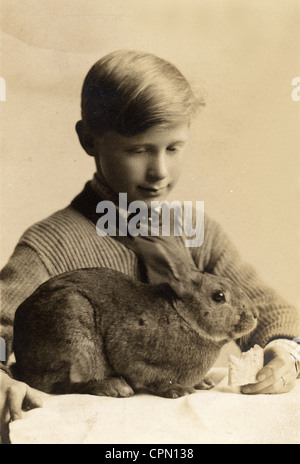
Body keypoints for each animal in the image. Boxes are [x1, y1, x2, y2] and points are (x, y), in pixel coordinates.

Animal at [12, 230, 258, 400]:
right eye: (219, 296)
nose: (255, 314)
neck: (183, 317)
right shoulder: (132, 353)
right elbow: (151, 376)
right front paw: (179, 390)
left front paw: (204, 383)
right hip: (73, 333)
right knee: (61, 384)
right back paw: (115, 387)